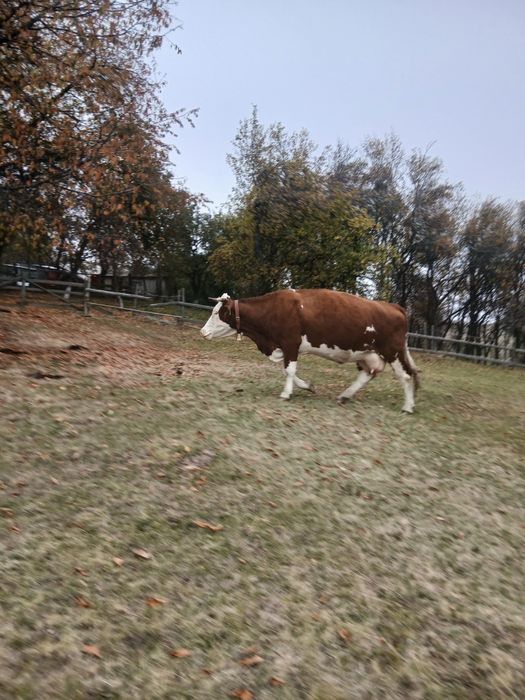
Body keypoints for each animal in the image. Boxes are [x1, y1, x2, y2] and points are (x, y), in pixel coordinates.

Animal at [200, 289, 420, 413]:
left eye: (217, 313)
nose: (203, 332)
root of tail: (394, 306)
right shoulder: (285, 347)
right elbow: (288, 371)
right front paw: (308, 386)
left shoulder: (290, 343)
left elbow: (289, 370)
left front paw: (286, 393)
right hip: (368, 354)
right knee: (367, 374)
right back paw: (344, 396)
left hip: (393, 351)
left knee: (406, 376)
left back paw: (408, 407)